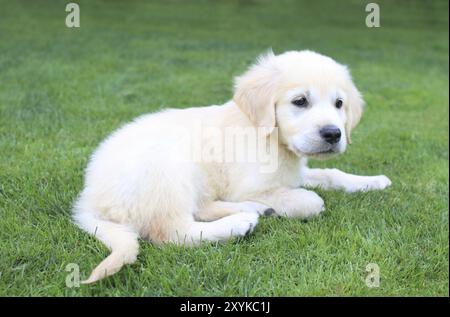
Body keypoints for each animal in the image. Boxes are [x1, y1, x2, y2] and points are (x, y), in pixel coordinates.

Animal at [73, 50, 390, 282]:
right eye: (300, 101)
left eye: (339, 103)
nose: (333, 134)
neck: (271, 138)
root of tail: (89, 199)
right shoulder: (248, 185)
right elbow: (310, 200)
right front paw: (303, 201)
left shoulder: (296, 170)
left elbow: (330, 173)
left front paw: (372, 181)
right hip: (171, 172)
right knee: (175, 232)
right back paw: (241, 222)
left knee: (201, 208)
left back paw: (256, 211)